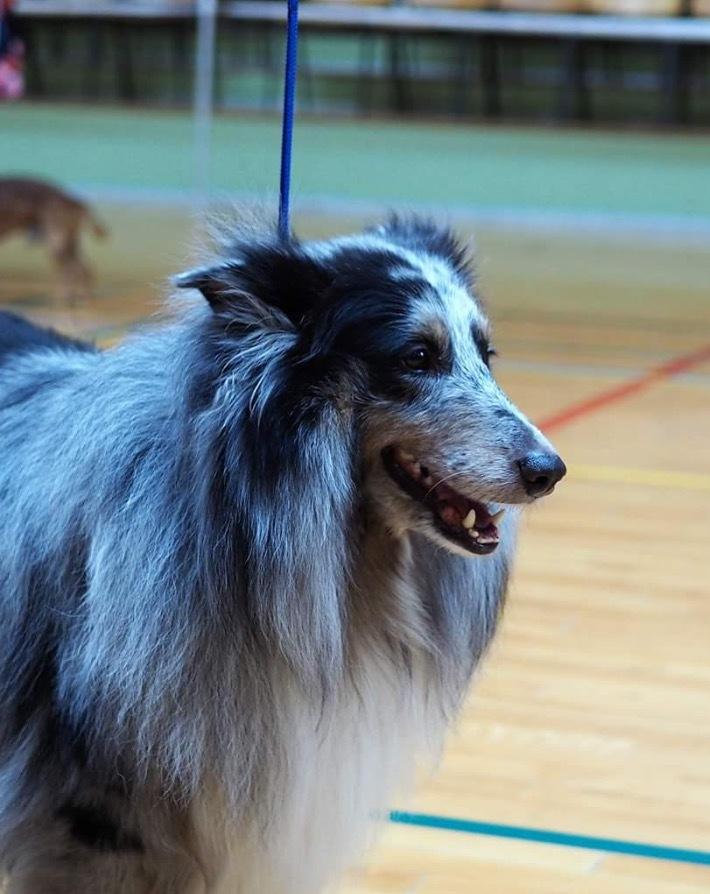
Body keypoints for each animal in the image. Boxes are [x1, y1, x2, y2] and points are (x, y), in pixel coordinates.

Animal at [0, 177, 107, 306]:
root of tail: (76, 202)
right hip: (70, 243)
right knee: (84, 269)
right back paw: (82, 298)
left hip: (57, 242)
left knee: (71, 271)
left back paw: (65, 300)